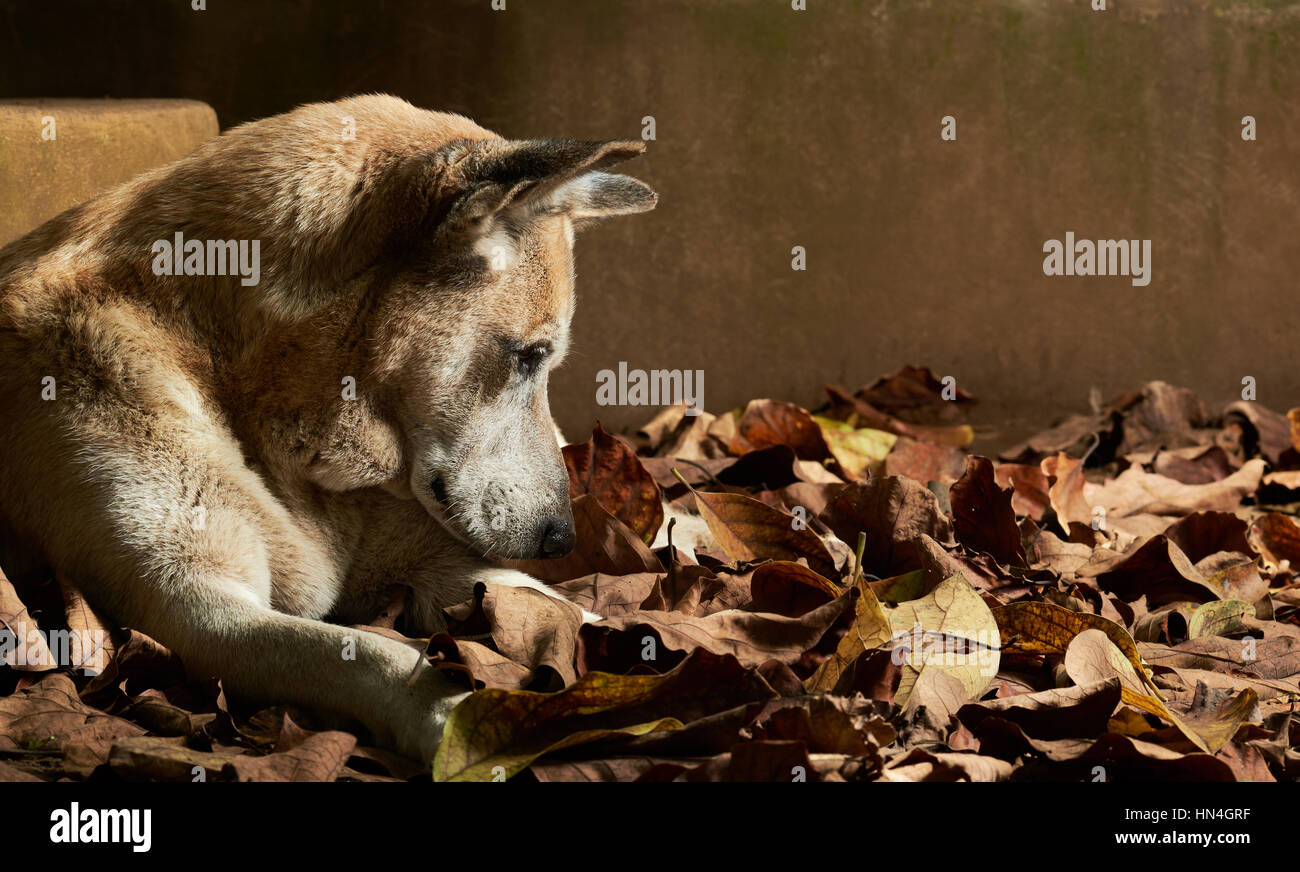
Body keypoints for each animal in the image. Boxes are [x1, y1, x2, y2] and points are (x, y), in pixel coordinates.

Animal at [0, 93, 655, 764]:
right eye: (530, 356)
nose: (561, 539)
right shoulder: (198, 607)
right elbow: (373, 652)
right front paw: (461, 717)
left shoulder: (432, 560)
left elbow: (556, 605)